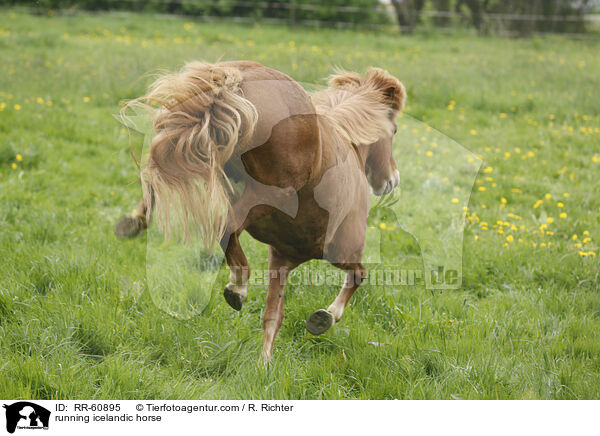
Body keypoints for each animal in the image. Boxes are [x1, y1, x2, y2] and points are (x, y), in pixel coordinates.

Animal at [115, 61, 406, 362]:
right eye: (394, 130)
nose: (392, 180)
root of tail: (238, 77)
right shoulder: (341, 250)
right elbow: (360, 275)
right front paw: (324, 318)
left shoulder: (282, 258)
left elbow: (273, 316)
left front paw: (264, 363)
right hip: (268, 194)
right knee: (227, 227)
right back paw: (238, 287)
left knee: (158, 179)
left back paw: (133, 222)